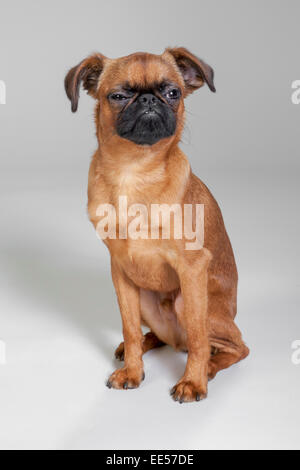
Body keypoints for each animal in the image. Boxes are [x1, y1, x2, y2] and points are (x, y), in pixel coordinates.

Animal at [64, 47, 250, 402]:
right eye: (119, 96)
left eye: (173, 93)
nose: (150, 99)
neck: (133, 171)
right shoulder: (121, 272)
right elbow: (129, 326)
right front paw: (133, 371)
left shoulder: (192, 268)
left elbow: (198, 338)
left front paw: (193, 381)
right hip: (146, 299)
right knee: (158, 336)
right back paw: (140, 347)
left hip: (187, 302)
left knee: (231, 346)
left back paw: (208, 367)